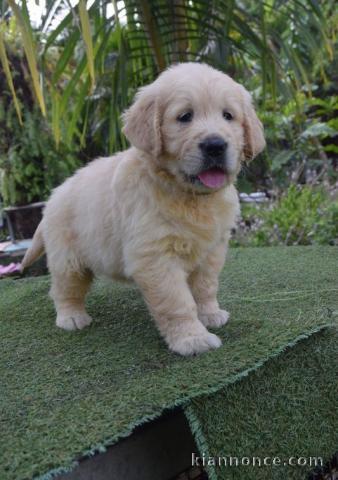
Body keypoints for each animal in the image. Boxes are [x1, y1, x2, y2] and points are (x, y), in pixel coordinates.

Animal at [21, 62, 266, 356]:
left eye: (228, 116)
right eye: (185, 116)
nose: (215, 145)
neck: (190, 196)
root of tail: (54, 196)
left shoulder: (212, 249)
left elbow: (205, 286)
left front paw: (209, 314)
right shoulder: (156, 256)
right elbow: (177, 302)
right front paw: (191, 338)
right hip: (67, 258)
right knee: (64, 289)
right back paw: (71, 317)